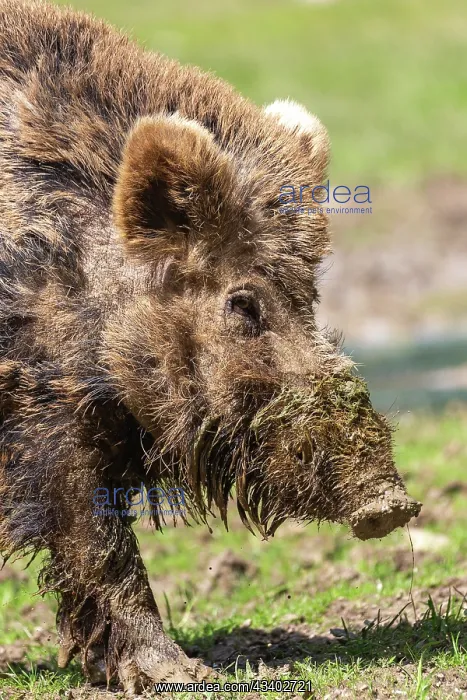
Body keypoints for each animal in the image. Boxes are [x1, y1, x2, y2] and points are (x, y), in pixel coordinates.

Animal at [0, 0, 421, 693]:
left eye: (309, 294)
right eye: (242, 303)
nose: (390, 504)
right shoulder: (46, 413)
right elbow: (96, 541)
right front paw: (183, 674)